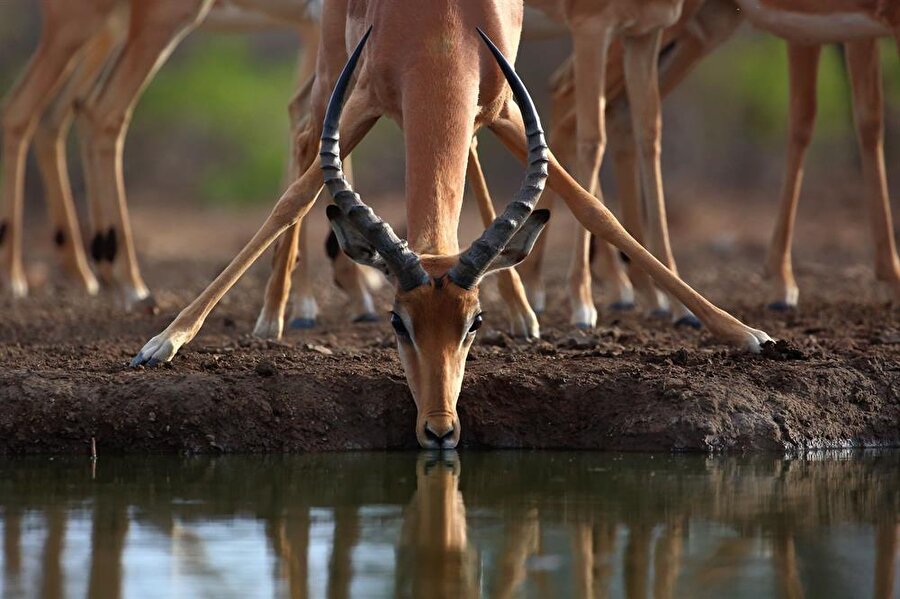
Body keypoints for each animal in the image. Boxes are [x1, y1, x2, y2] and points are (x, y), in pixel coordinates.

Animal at [131, 0, 771, 449]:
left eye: (474, 323)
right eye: (398, 322)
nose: (439, 431)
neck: (441, 30)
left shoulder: (507, 108)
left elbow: (593, 206)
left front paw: (743, 332)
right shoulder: (360, 100)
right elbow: (291, 197)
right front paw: (163, 342)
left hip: (482, 112)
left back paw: (528, 314)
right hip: (333, 61)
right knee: (302, 134)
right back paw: (275, 315)